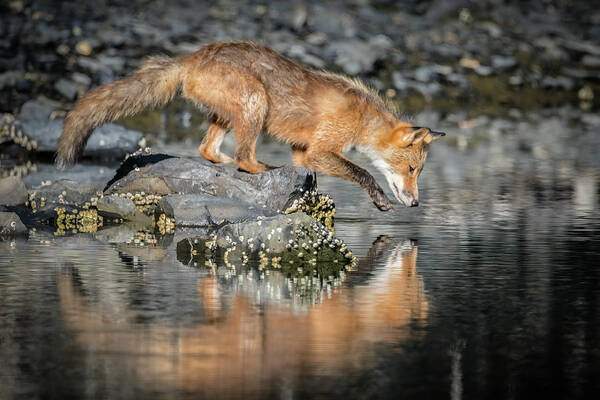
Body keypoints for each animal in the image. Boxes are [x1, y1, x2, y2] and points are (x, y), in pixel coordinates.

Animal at [57, 40, 446, 209]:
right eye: (412, 169)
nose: (415, 204)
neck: (362, 118)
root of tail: (193, 57)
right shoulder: (321, 150)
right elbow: (362, 172)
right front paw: (379, 199)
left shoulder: (302, 153)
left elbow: (312, 172)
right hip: (256, 102)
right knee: (244, 157)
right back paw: (261, 169)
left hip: (229, 116)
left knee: (207, 149)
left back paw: (226, 165)